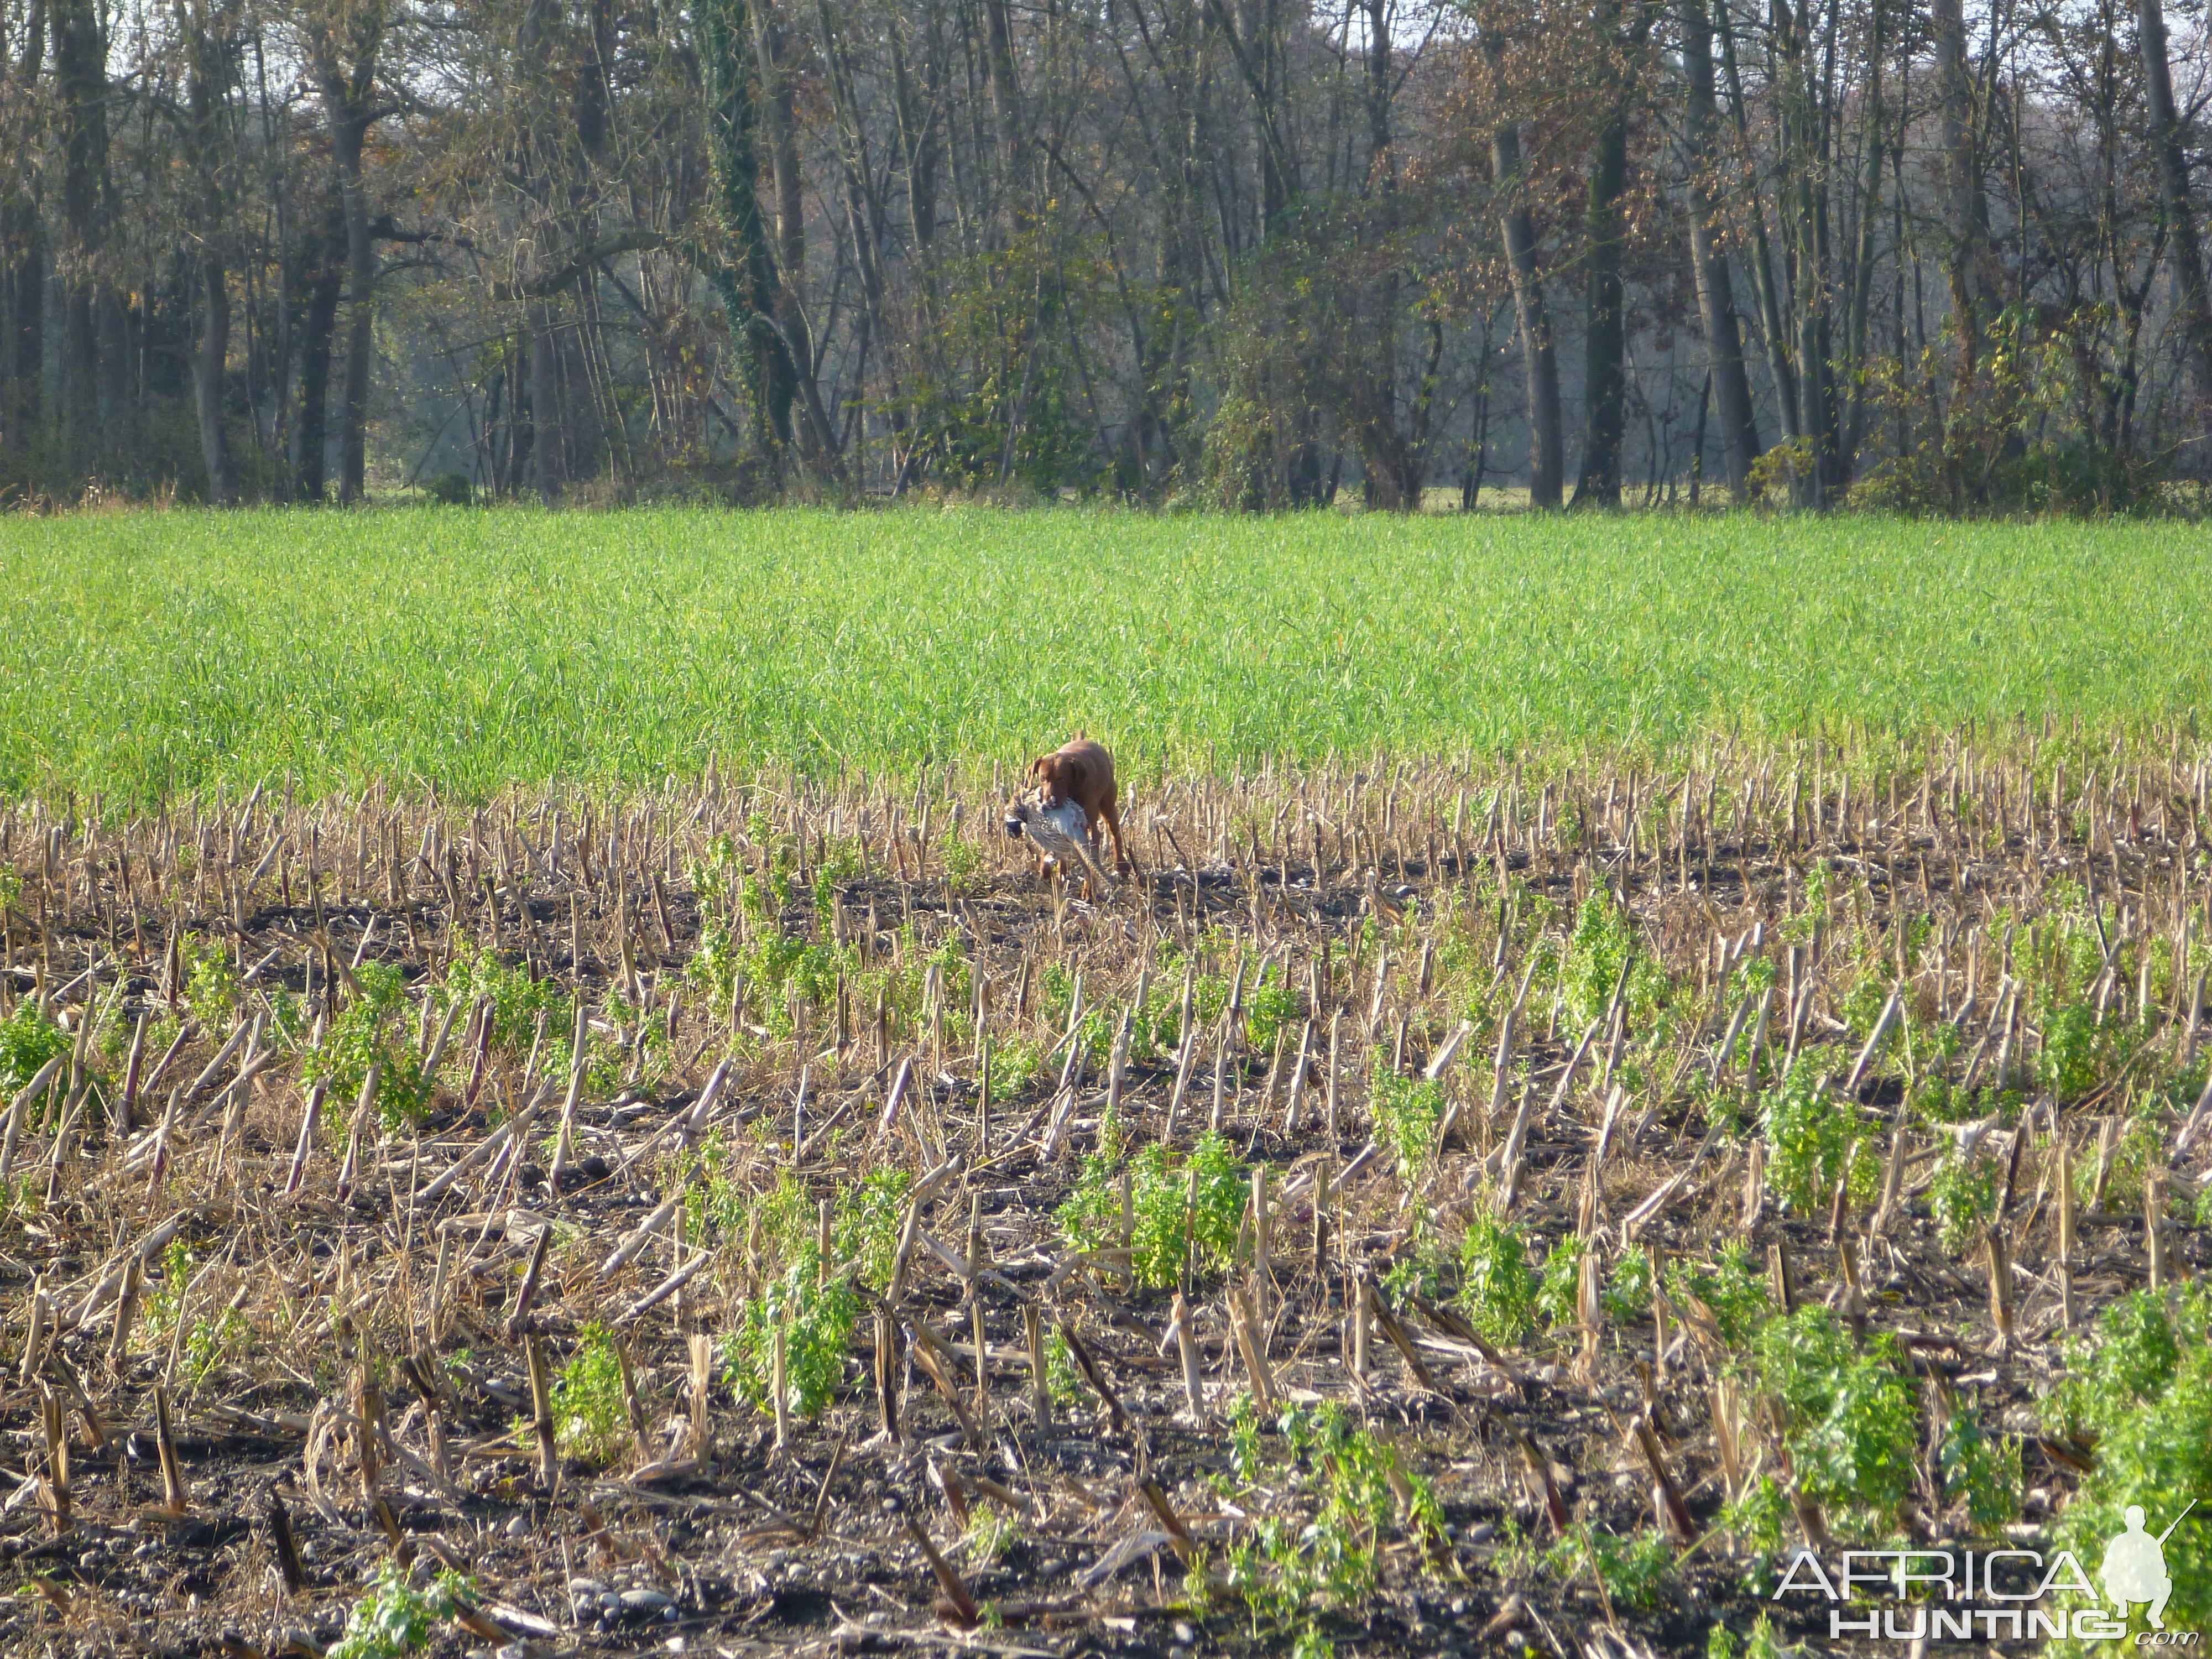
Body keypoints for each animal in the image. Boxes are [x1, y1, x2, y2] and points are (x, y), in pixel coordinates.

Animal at [1031, 734, 1133, 876]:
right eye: (1042, 778)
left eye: (1062, 778)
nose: (1049, 803)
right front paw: (1052, 872)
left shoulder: (1091, 826)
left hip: (1108, 806)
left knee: (1115, 833)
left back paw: (1122, 865)